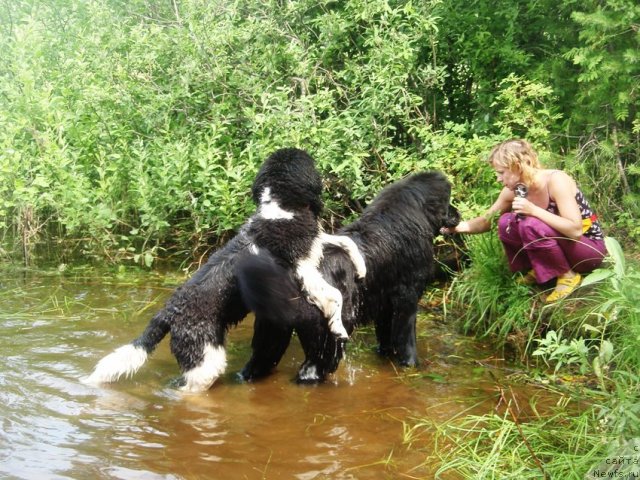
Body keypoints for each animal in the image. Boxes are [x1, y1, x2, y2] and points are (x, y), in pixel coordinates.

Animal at [85, 148, 364, 392]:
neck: (279, 211)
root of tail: (167, 314)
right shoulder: (303, 271)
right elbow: (335, 296)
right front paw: (338, 328)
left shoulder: (313, 246)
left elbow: (344, 241)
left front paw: (360, 267)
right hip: (205, 359)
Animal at [235, 171, 460, 384]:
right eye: (448, 202)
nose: (458, 214)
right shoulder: (408, 299)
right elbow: (407, 338)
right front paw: (413, 366)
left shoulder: (384, 304)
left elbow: (386, 335)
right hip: (329, 335)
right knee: (312, 370)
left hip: (271, 332)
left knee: (258, 361)